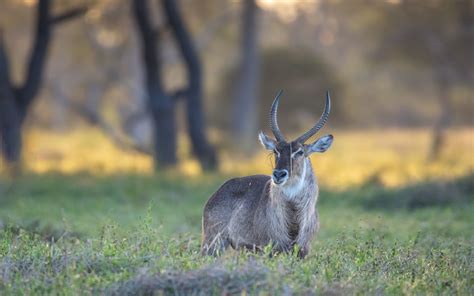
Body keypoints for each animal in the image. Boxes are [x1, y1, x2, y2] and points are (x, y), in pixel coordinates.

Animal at [201, 91, 334, 258]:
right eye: (276, 151)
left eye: (299, 152)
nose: (278, 174)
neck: (293, 218)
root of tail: (218, 192)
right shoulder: (268, 249)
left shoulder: (303, 251)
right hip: (213, 243)